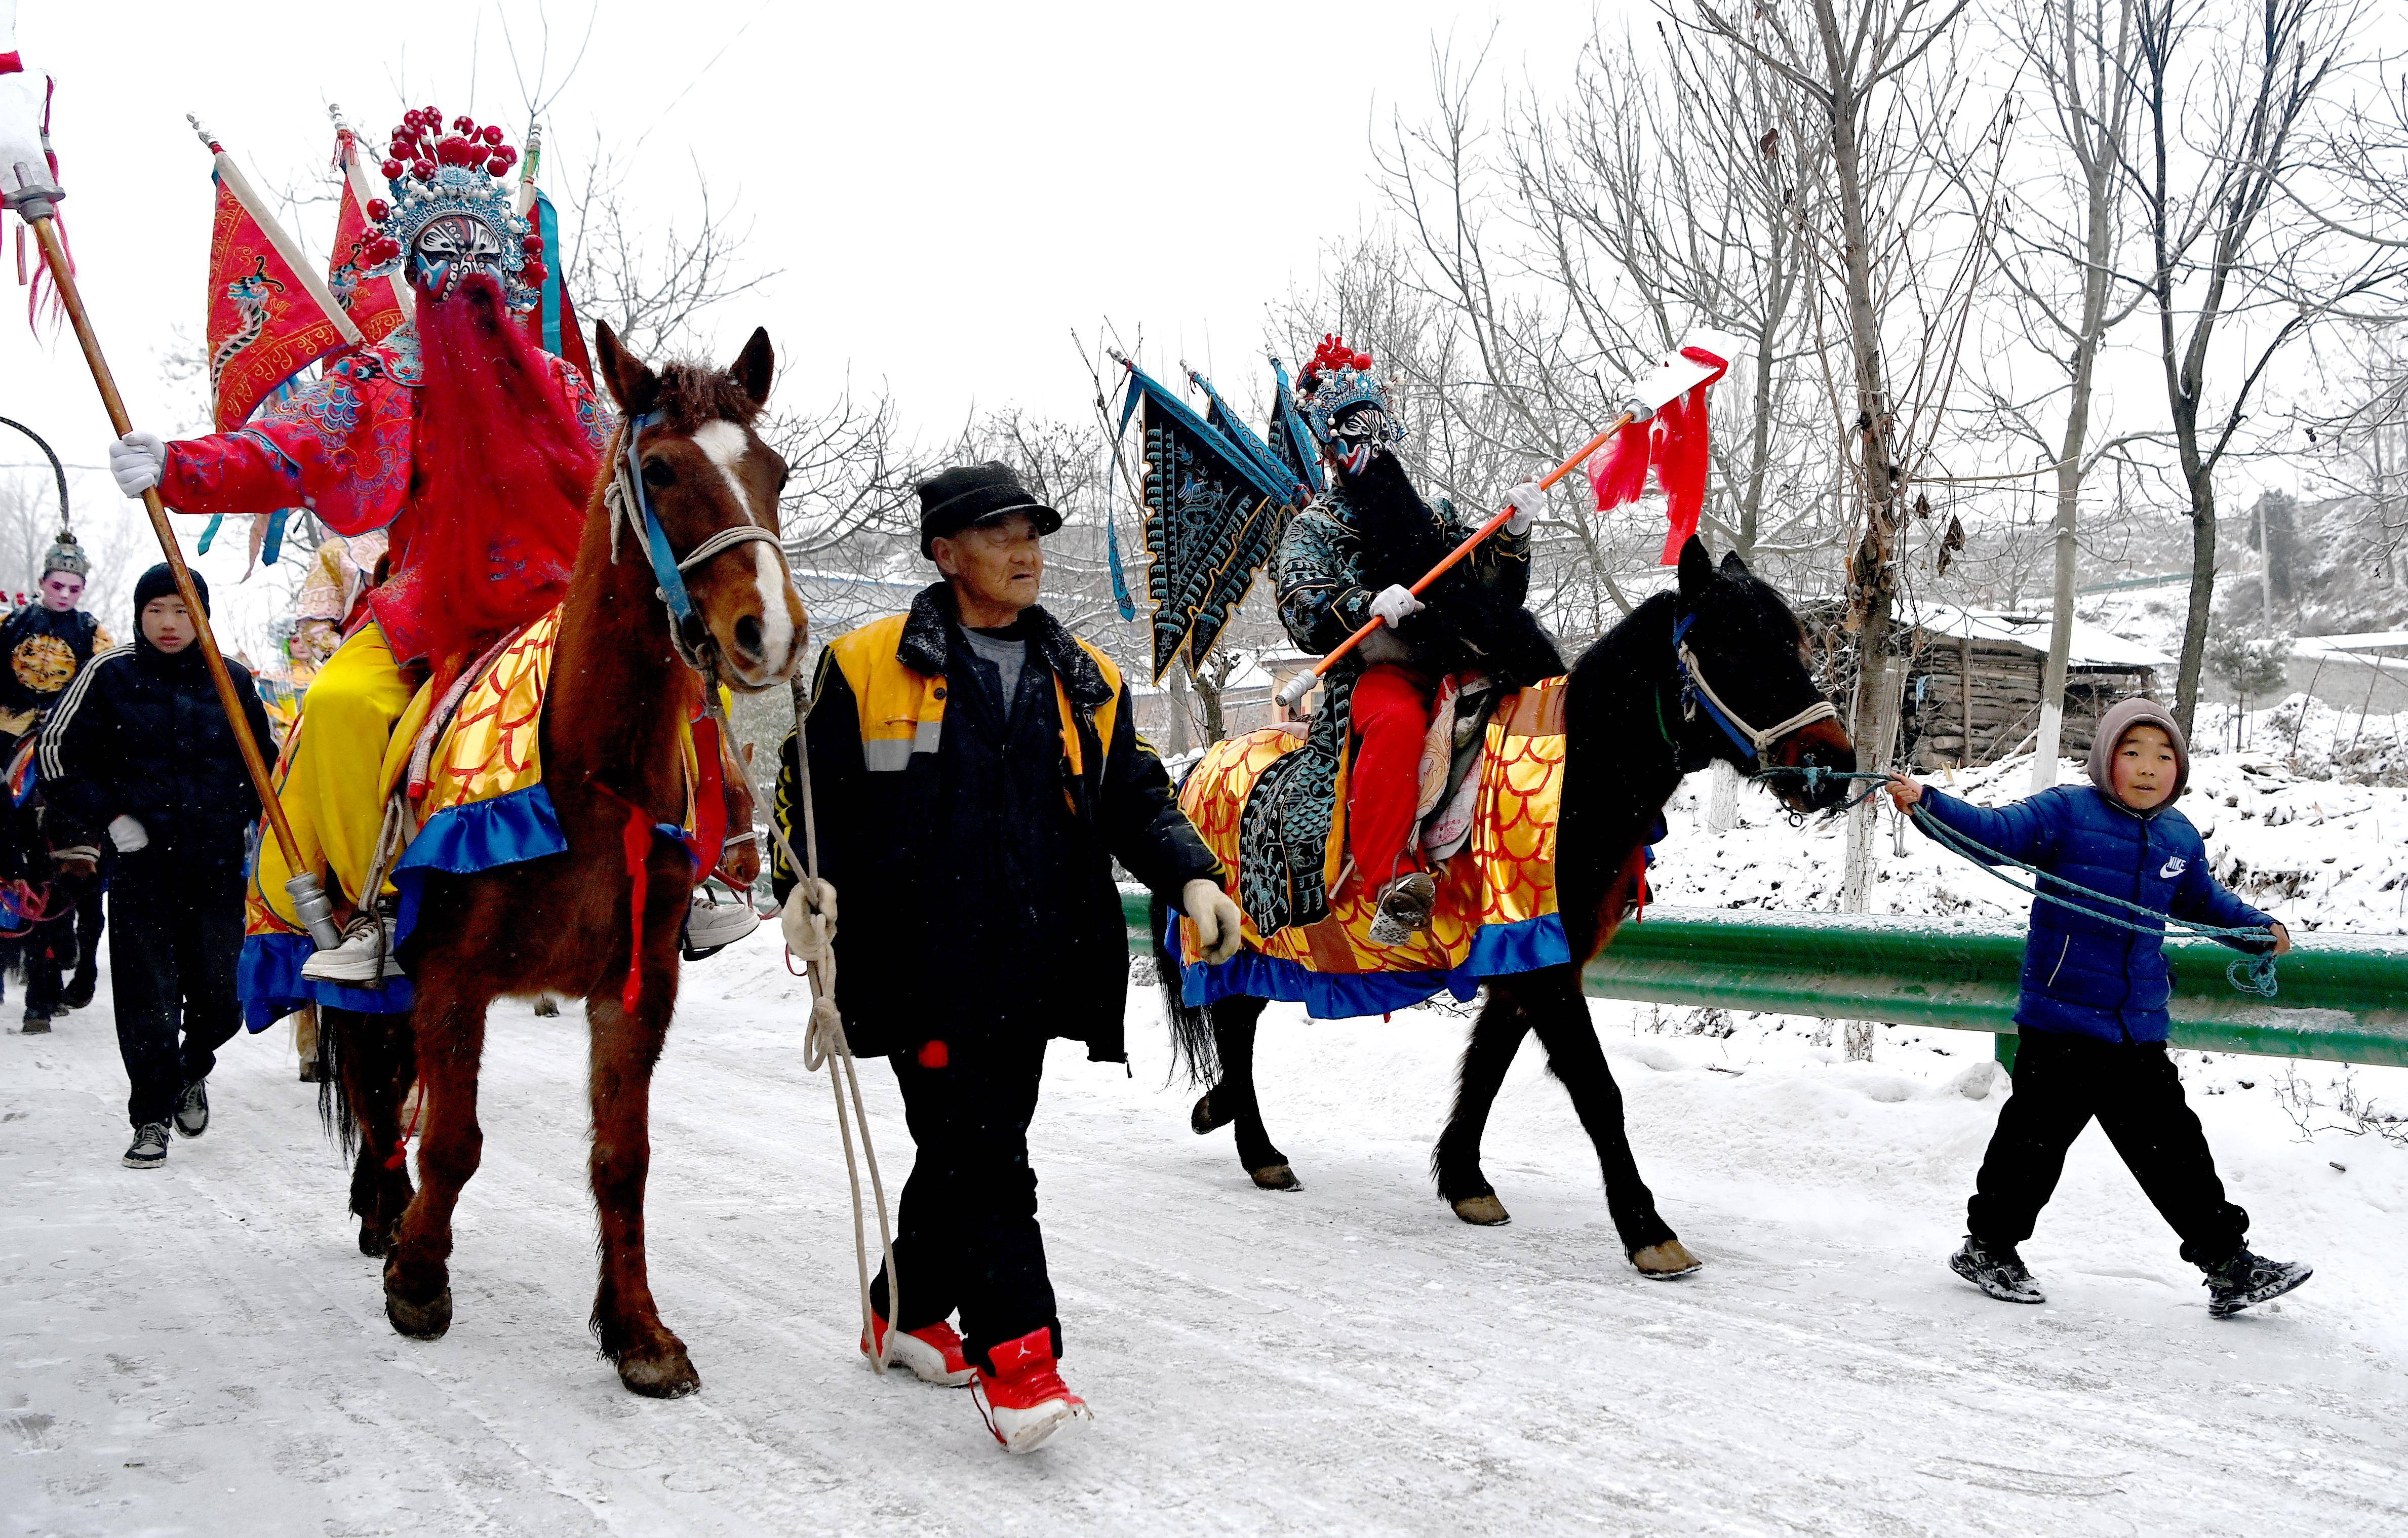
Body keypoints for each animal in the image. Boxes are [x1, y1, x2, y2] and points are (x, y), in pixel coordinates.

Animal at [318, 322, 809, 1396]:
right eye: (659, 470)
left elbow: (623, 1159)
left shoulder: (636, 986)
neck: (588, 773)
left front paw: (639, 1332)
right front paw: (420, 1275)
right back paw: (383, 1207)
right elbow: (454, 1140)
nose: (772, 632)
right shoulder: (450, 976)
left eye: (775, 471)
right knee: (372, 1075)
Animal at [1156, 541, 1849, 1271]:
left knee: (1238, 1031)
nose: (1831, 762)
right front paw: (1647, 1228)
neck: (1583, 781)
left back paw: (1226, 1117)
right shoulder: (1542, 966)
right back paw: (1255, 1145)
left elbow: (1485, 1069)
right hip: (1240, 948)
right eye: (1735, 647)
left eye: (1796, 645)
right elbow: (1596, 1088)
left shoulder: (1527, 959)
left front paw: (1466, 1180)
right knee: (1235, 1030)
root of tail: (1204, 761)